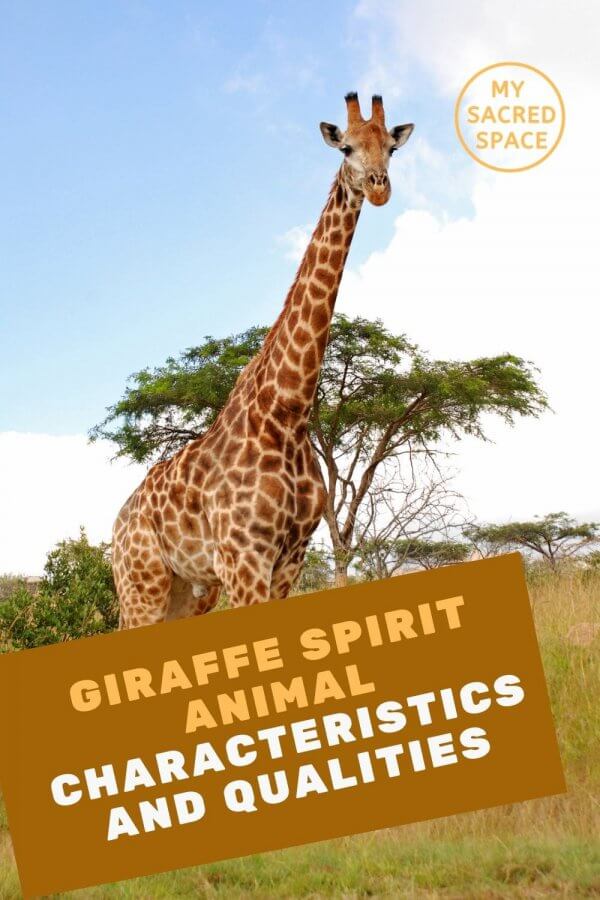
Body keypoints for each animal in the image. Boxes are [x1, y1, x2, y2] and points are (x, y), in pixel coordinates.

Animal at [113, 93, 414, 628]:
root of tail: (115, 527)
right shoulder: (244, 556)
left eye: (392, 148)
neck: (287, 408)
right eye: (346, 148)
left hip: (187, 590)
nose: (380, 189)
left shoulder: (290, 558)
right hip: (141, 585)